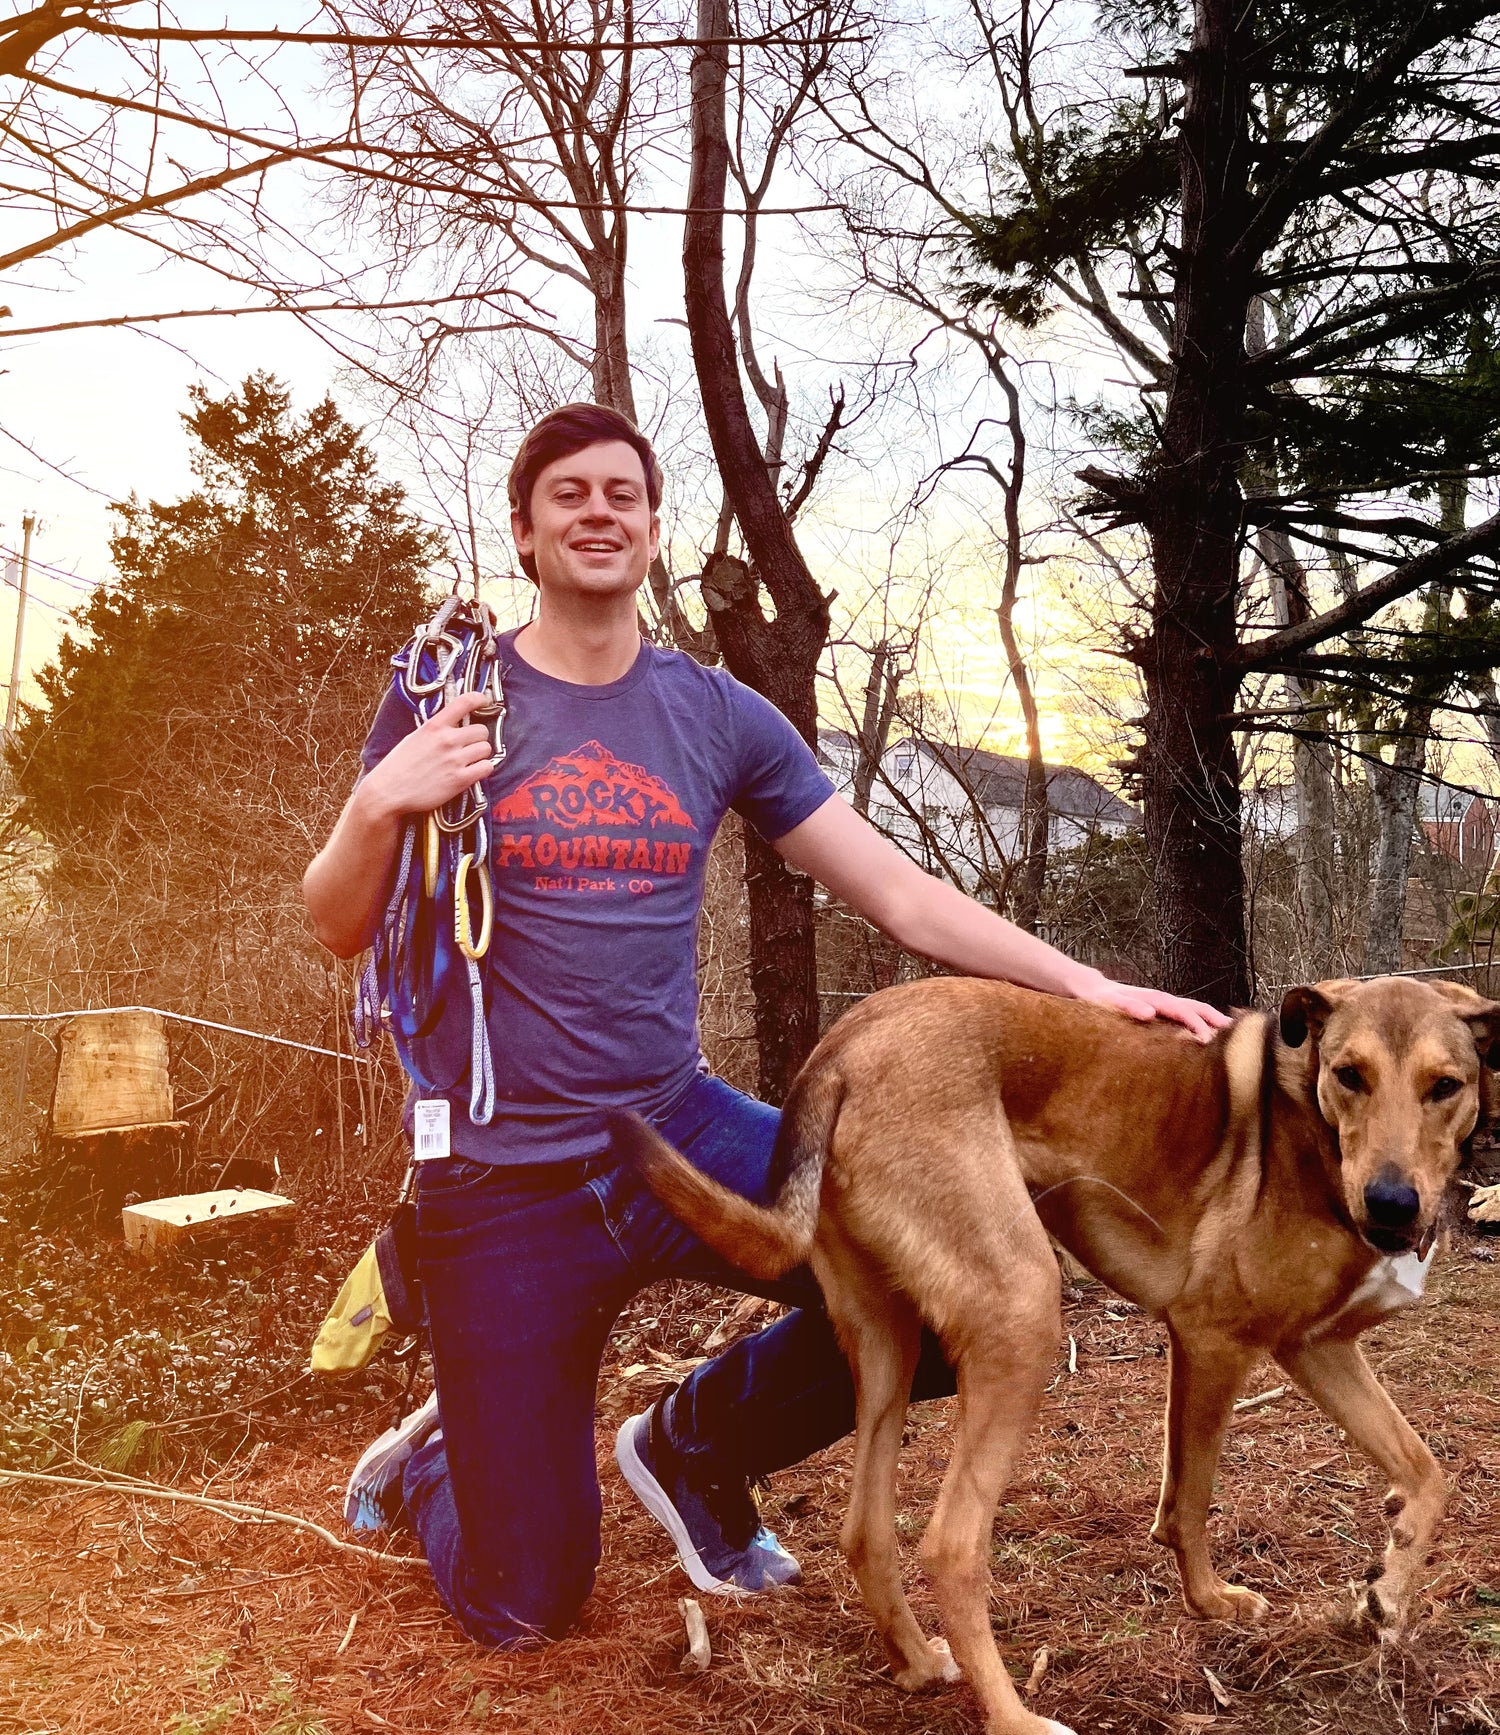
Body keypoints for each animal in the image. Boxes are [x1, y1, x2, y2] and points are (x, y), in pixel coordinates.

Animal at [610, 978, 1498, 1735]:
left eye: (1445, 1085)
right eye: (1350, 1075)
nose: (1392, 1205)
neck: (1308, 1125)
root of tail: (840, 1050)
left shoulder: (1316, 1346)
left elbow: (1427, 1470)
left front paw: (1386, 1597)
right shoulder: (1217, 1340)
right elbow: (1193, 1499)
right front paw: (1213, 1600)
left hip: (887, 1340)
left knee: (866, 1528)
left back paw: (918, 1661)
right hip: (1022, 1313)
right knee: (950, 1544)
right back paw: (1014, 1716)